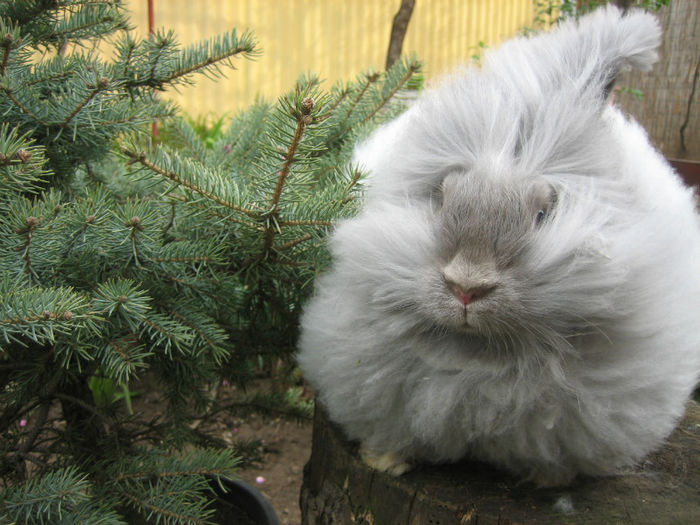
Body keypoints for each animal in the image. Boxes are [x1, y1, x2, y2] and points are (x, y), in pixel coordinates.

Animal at [296, 5, 700, 488]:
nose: (467, 288)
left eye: (544, 214)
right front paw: (385, 462)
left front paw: (550, 480)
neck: (481, 354)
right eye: (442, 197)